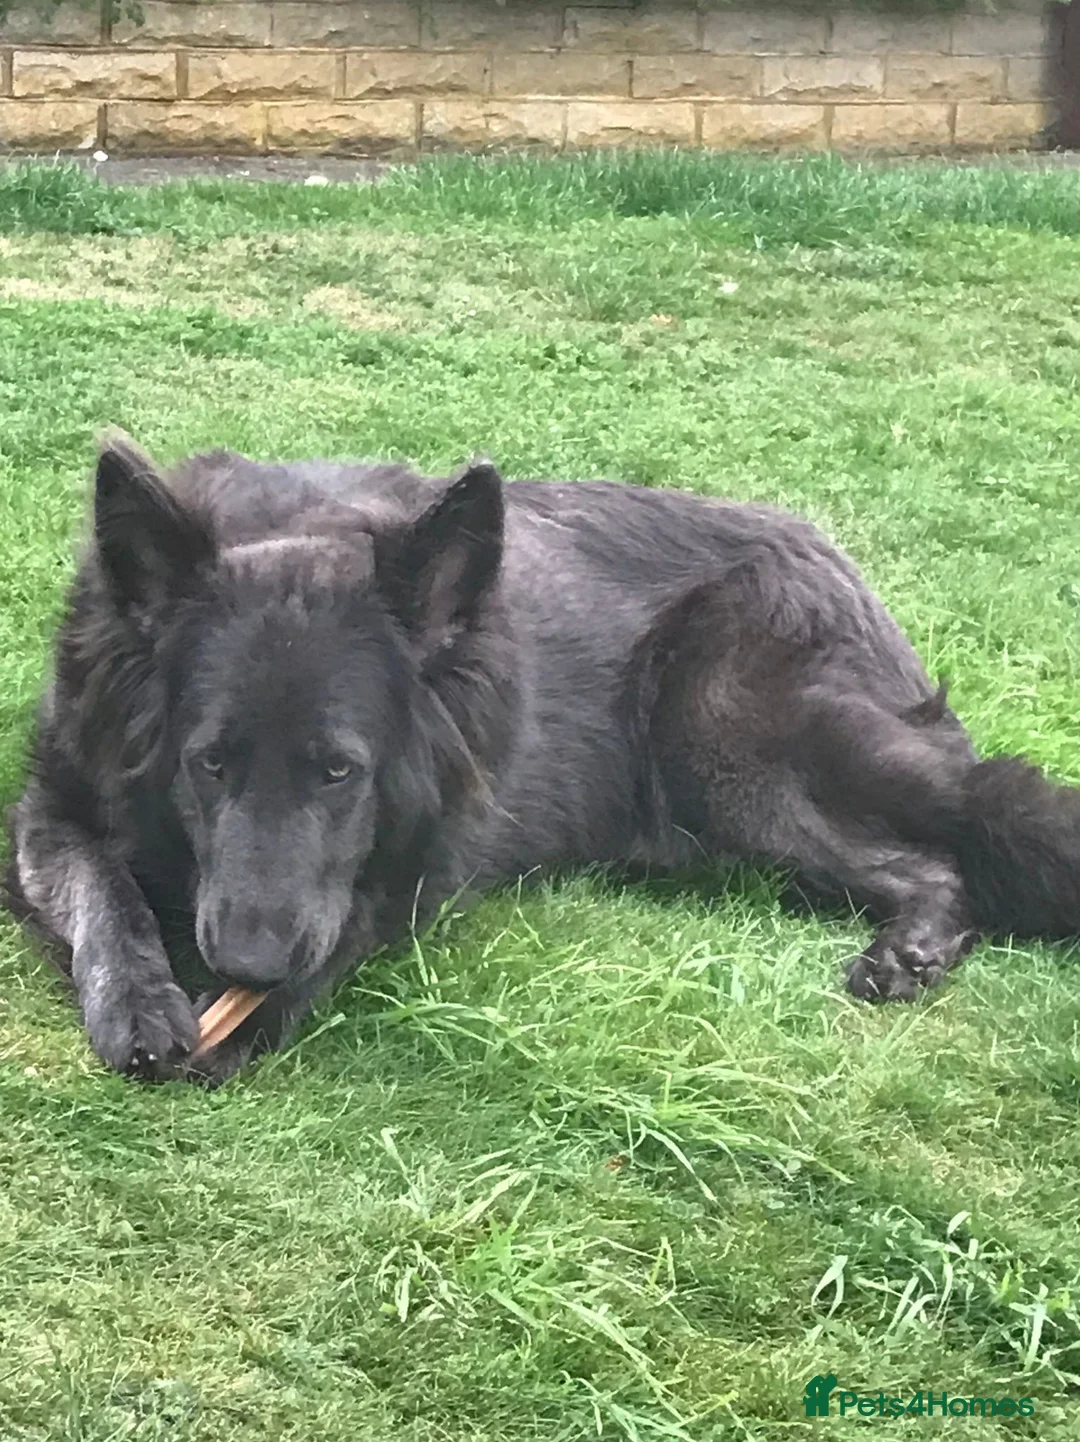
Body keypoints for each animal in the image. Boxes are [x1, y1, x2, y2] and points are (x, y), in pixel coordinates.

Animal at [7, 434, 1080, 1082]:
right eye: (211, 765)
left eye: (339, 772)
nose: (244, 964)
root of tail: (831, 556)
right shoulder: (53, 799)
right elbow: (101, 888)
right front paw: (140, 996)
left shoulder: (422, 851)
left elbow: (342, 925)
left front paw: (247, 1022)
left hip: (726, 751)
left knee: (951, 846)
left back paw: (915, 943)